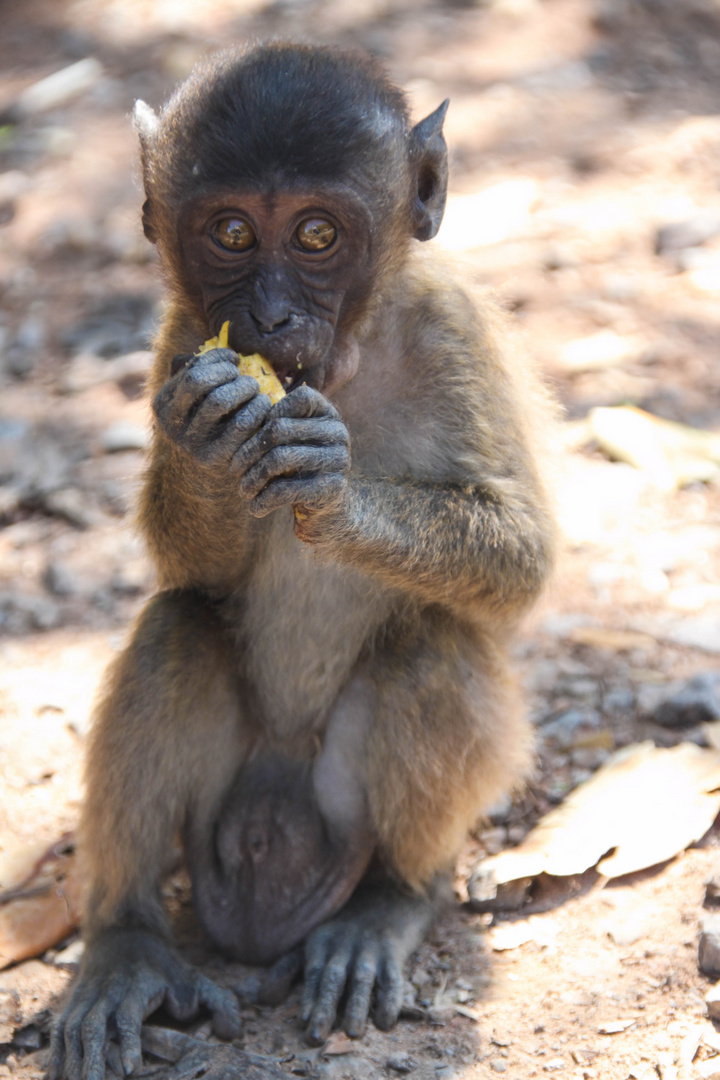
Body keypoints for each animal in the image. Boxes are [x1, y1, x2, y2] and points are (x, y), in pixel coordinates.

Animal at [50, 42, 557, 1080]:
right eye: (234, 232)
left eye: (318, 234)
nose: (273, 317)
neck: (346, 365)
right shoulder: (180, 341)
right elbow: (189, 578)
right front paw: (214, 436)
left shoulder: (453, 329)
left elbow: (522, 561)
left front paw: (334, 489)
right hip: (215, 824)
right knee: (178, 626)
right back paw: (127, 943)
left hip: (346, 816)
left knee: (432, 644)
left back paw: (388, 907)